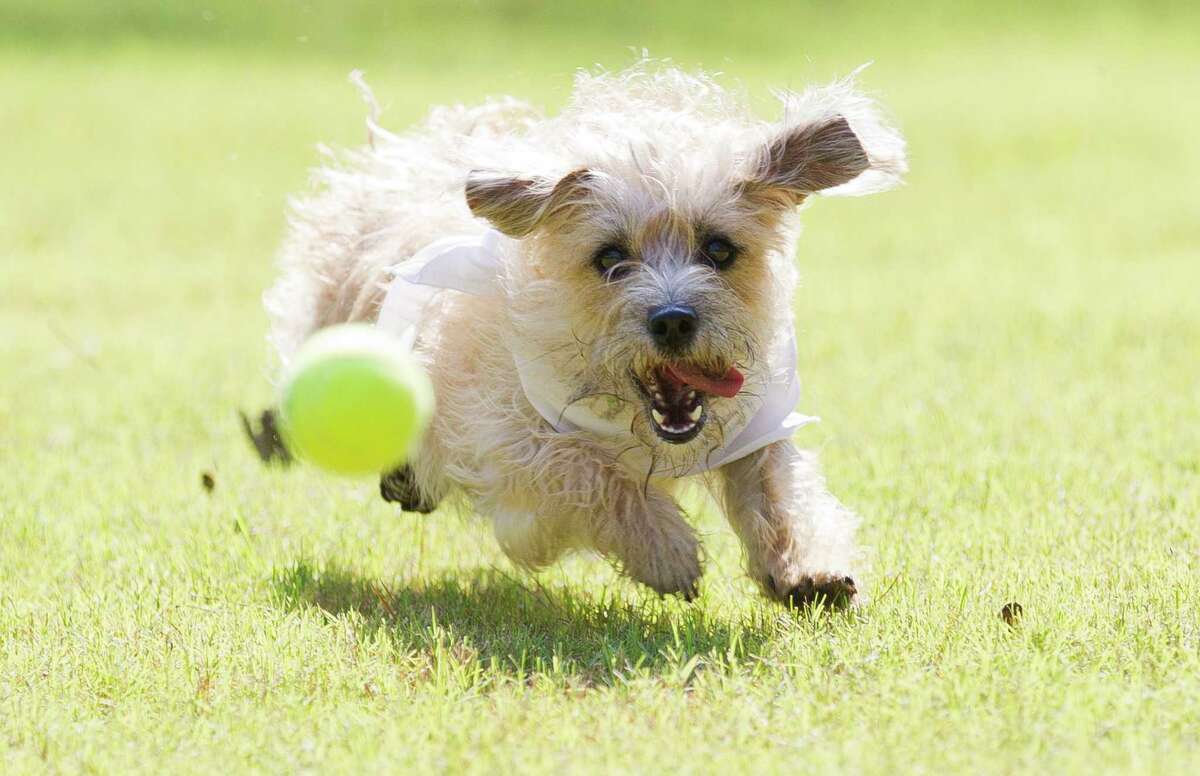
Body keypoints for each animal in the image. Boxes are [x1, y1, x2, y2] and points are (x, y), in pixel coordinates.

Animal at [260, 62, 902, 606]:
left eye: (720, 249)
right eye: (610, 257)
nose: (673, 319)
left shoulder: (757, 424)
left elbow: (780, 488)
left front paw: (809, 567)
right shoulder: (507, 447)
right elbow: (584, 468)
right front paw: (666, 549)